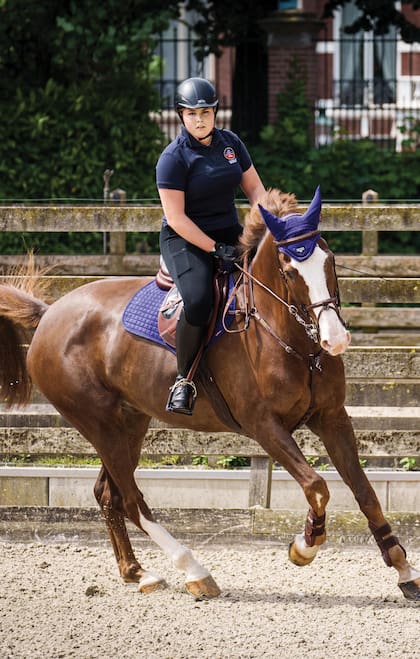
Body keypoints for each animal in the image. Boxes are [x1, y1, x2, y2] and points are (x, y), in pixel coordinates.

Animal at [0, 187, 419, 602]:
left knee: (109, 493)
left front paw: (403, 569)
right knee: (133, 500)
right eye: (288, 270)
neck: (293, 341)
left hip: (128, 422)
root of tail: (50, 314)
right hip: (98, 423)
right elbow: (316, 486)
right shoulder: (264, 426)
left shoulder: (332, 418)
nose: (336, 339)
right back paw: (194, 571)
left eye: (329, 259)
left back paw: (138, 573)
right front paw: (305, 545)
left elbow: (364, 491)